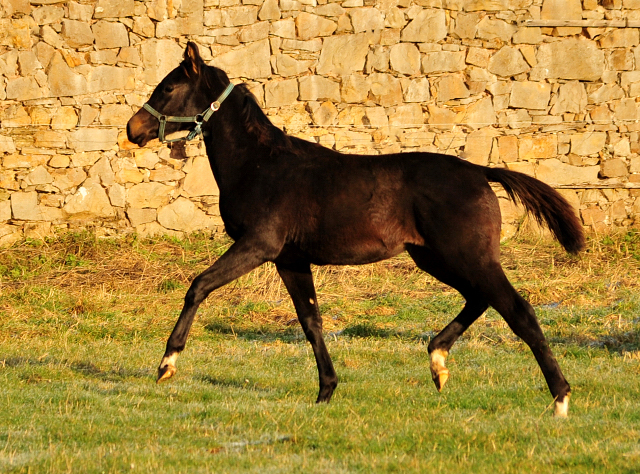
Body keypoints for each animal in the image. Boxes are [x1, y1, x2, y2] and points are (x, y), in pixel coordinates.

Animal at [126, 42, 584, 416]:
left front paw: (167, 364)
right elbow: (311, 321)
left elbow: (198, 286)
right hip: (436, 258)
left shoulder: (259, 245)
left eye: (168, 87)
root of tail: (479, 170)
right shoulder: (290, 259)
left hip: (467, 255)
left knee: (518, 310)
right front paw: (326, 391)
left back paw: (559, 398)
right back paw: (437, 362)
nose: (133, 130)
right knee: (479, 299)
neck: (260, 164)